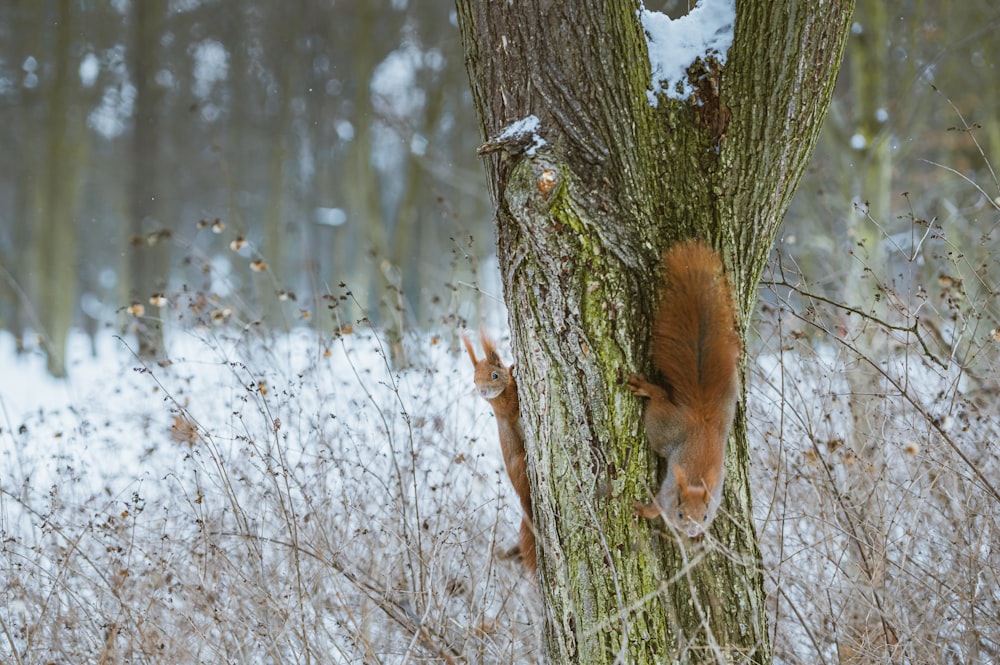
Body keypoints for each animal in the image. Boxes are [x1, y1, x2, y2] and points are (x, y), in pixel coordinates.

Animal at [462, 330, 536, 572]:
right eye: (474, 380)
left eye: (494, 375)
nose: (483, 390)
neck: (496, 398)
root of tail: (523, 498)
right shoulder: (506, 407)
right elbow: (513, 402)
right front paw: (514, 371)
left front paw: (512, 368)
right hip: (521, 464)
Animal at [628, 241, 740, 536]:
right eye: (681, 514)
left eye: (705, 516)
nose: (692, 532)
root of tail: (702, 418)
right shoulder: (668, 494)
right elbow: (657, 509)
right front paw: (643, 510)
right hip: (662, 428)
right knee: (660, 399)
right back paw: (648, 389)